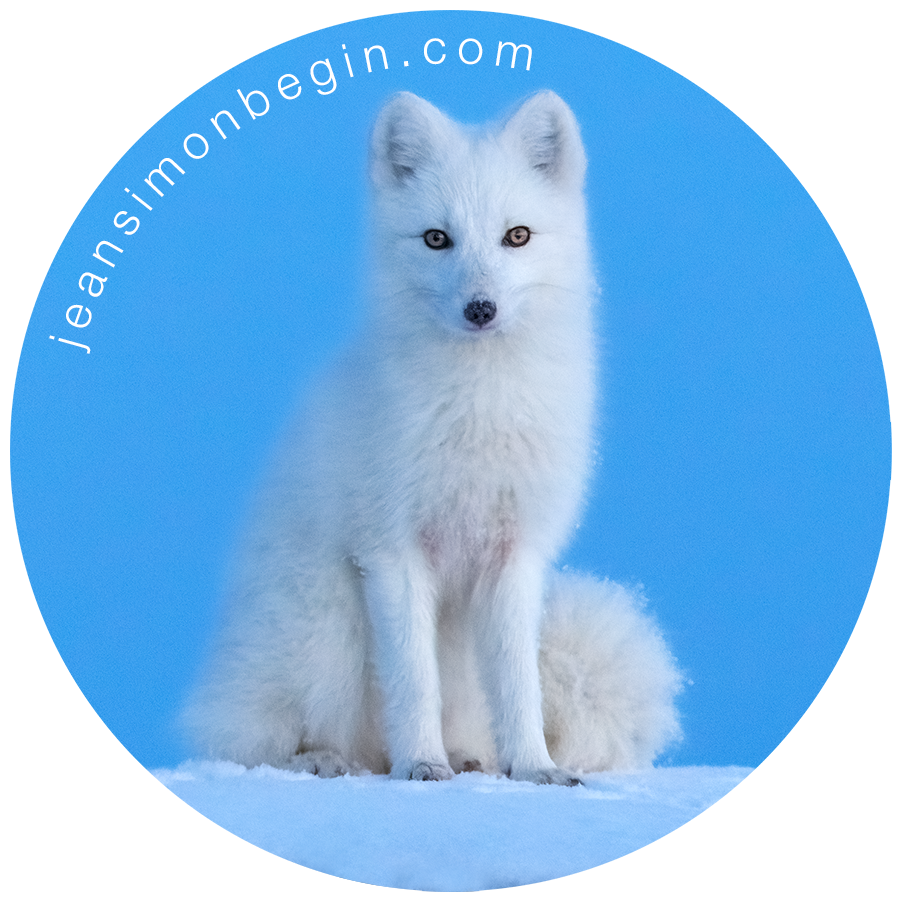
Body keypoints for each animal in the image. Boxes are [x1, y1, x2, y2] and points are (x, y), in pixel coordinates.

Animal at [183, 90, 682, 784]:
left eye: (517, 236)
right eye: (436, 239)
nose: (480, 309)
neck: (479, 409)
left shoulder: (514, 556)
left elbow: (519, 686)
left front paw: (535, 768)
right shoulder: (392, 551)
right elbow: (414, 682)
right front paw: (421, 763)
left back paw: (470, 757)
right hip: (327, 631)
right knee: (254, 741)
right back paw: (329, 759)